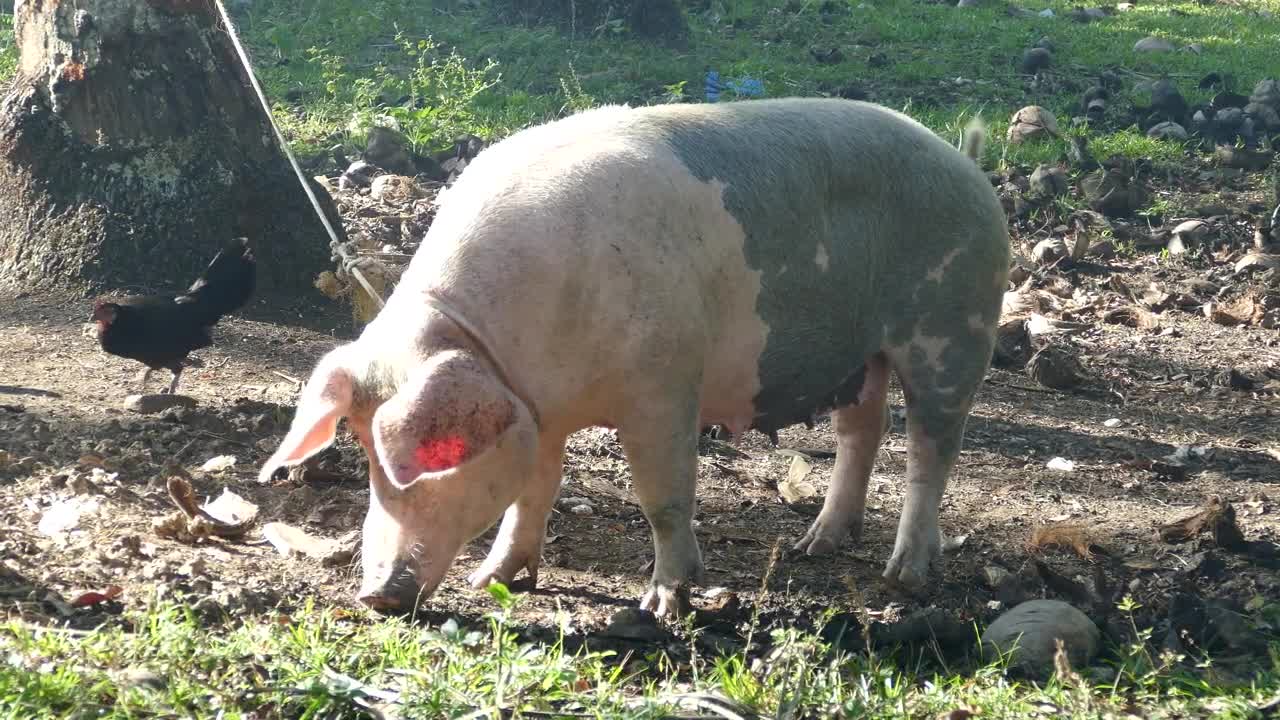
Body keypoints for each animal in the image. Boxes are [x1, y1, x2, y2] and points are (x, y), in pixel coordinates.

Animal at [258, 97, 1010, 619]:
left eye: (425, 461)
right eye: (362, 455)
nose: (376, 595)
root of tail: (969, 167)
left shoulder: (664, 386)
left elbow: (663, 498)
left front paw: (664, 603)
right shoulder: (538, 413)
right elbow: (532, 494)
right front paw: (491, 580)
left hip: (953, 329)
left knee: (931, 451)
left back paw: (904, 575)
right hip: (860, 355)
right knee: (864, 430)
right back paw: (815, 544)